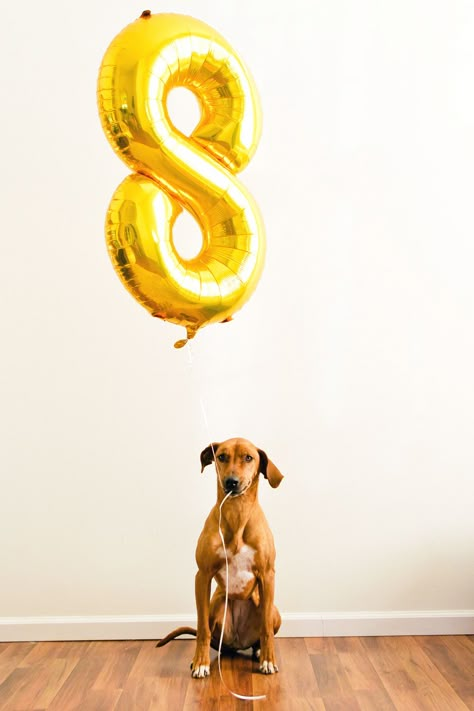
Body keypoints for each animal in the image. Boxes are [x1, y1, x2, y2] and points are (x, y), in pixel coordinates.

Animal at [158, 436, 286, 676]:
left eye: (249, 457)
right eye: (222, 456)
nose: (231, 482)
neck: (237, 513)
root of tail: (236, 643)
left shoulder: (267, 575)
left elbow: (265, 629)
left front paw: (268, 660)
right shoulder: (202, 576)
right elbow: (202, 629)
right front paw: (200, 663)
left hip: (274, 610)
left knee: (262, 632)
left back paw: (258, 651)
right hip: (215, 605)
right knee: (210, 635)